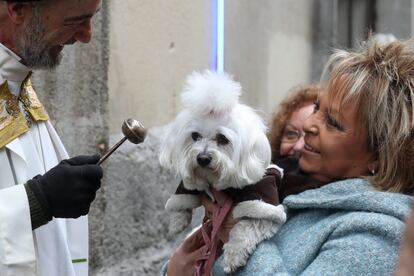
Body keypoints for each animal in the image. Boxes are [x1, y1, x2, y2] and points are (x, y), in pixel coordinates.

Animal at [160, 70, 286, 272]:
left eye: (223, 139)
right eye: (195, 136)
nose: (202, 158)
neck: (216, 180)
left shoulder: (263, 197)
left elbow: (248, 225)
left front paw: (233, 255)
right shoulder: (190, 183)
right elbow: (183, 194)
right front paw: (177, 221)